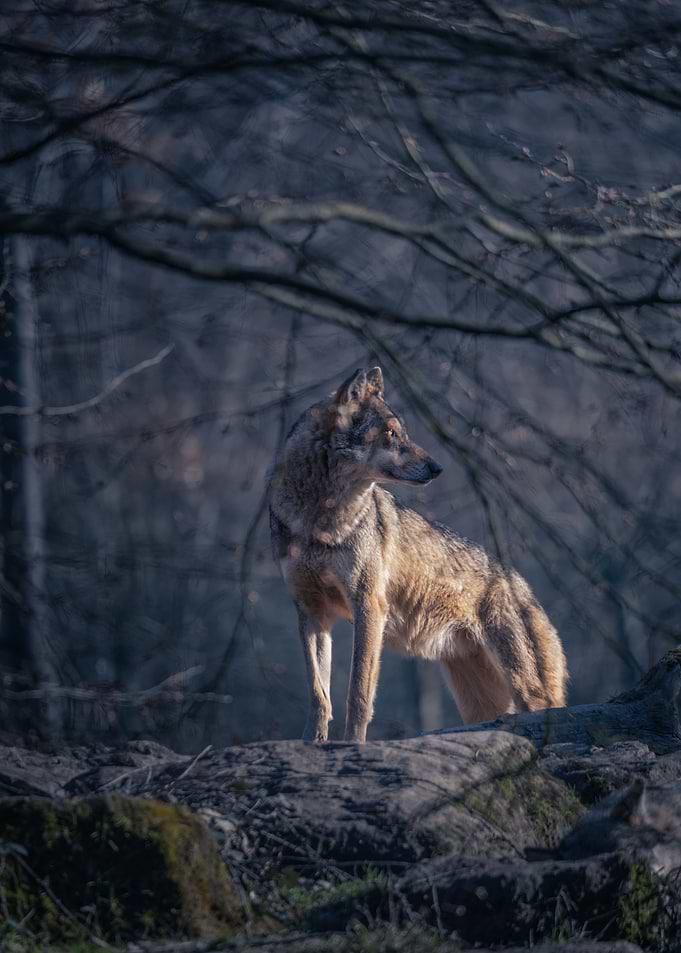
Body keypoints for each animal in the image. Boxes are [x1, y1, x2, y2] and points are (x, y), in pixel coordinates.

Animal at [269, 366, 568, 743]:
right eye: (391, 434)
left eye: (403, 433)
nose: (437, 467)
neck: (319, 520)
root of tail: (525, 587)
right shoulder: (311, 611)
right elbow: (318, 694)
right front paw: (313, 743)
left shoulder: (369, 606)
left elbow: (358, 693)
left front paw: (352, 745)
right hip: (480, 705)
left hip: (525, 688)